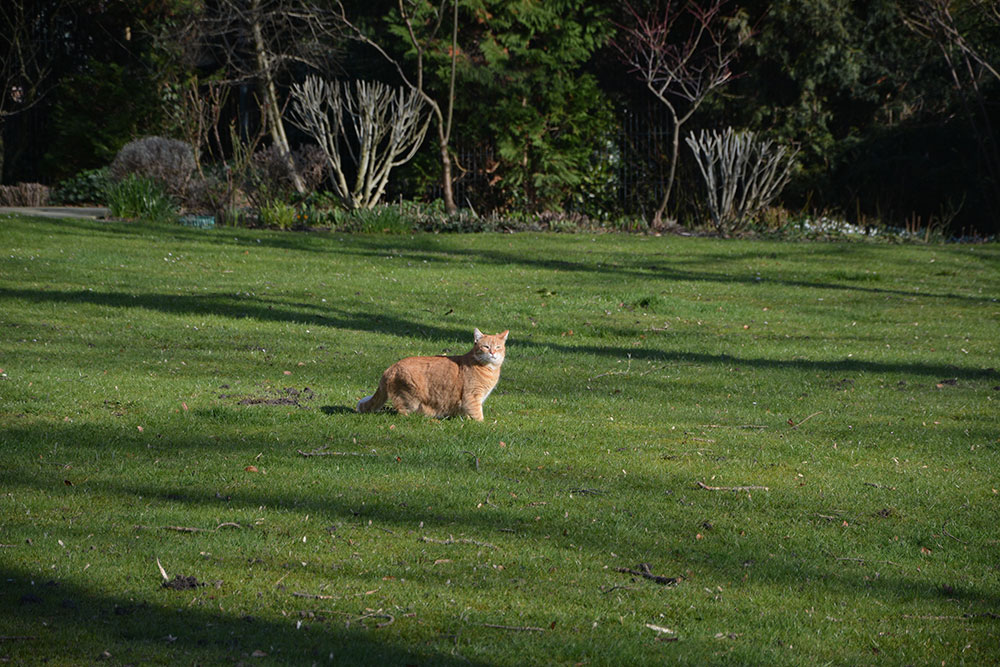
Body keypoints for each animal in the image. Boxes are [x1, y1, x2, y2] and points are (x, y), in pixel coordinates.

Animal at [356, 330, 508, 422]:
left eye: (498, 347)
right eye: (486, 347)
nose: (493, 353)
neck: (489, 369)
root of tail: (390, 368)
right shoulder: (472, 396)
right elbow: (477, 414)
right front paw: (482, 424)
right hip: (410, 397)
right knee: (401, 410)